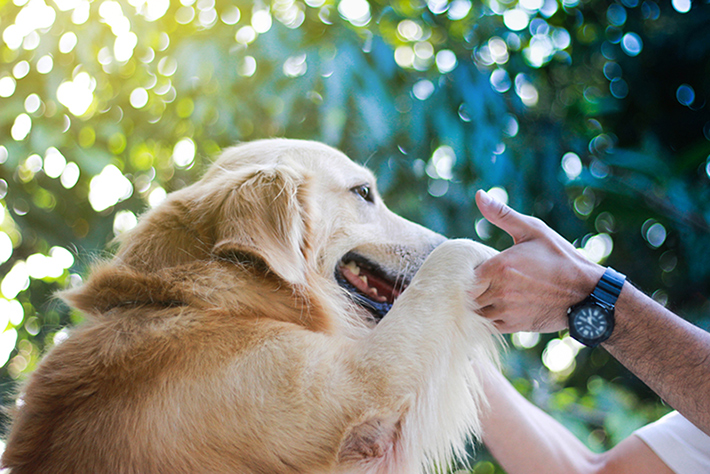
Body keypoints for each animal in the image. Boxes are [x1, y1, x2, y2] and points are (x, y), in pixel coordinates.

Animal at [1, 139, 500, 472]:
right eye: (363, 193)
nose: (432, 237)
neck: (203, 300)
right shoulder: (361, 390)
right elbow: (449, 260)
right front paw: (491, 252)